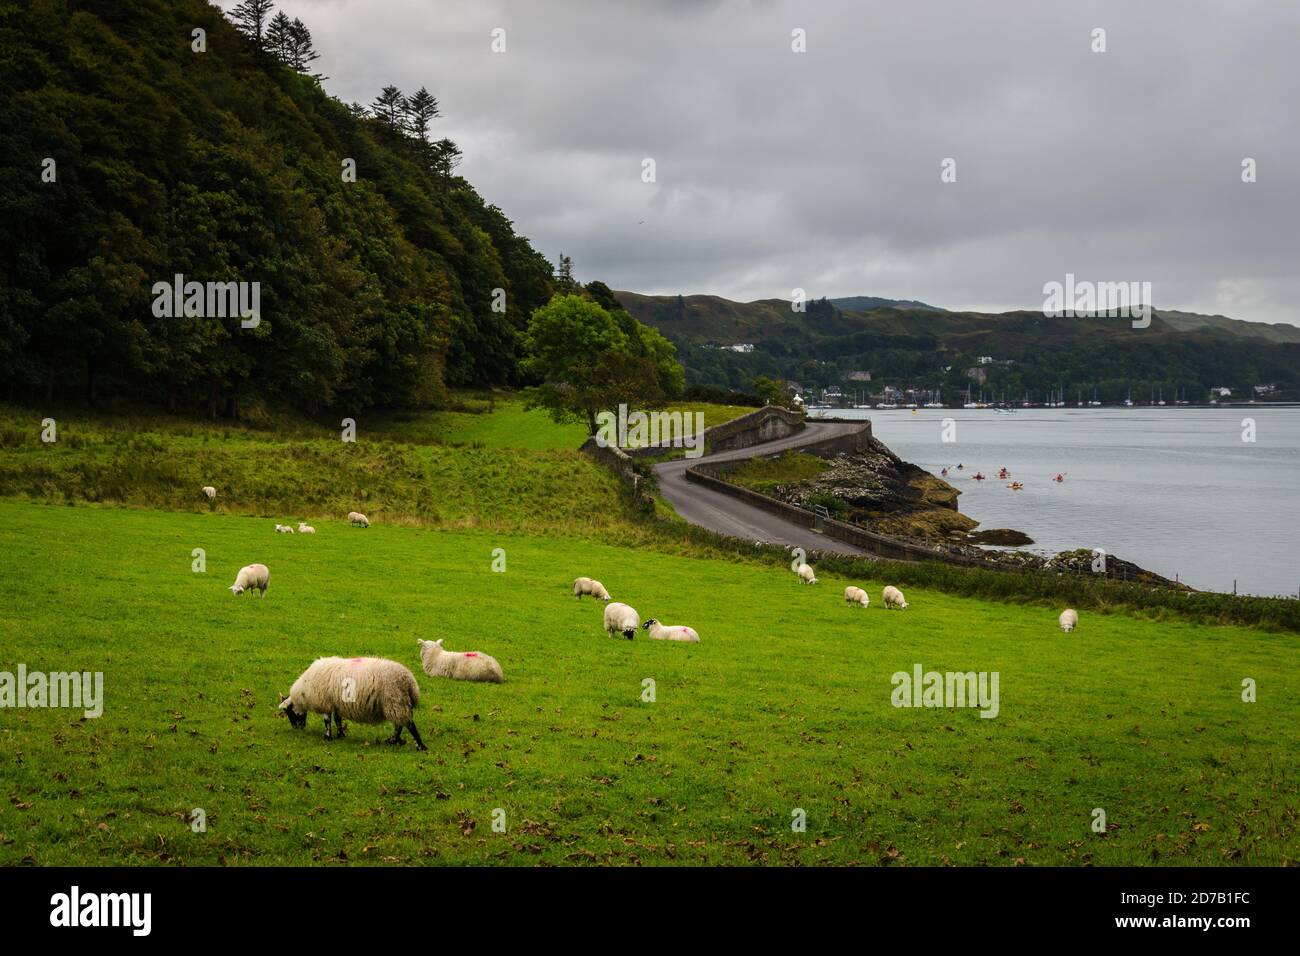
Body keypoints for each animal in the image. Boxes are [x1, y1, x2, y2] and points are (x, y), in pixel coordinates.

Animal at [276, 655, 423, 749]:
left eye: (289, 712)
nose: (297, 728)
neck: (304, 691)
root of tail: (409, 681)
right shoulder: (336, 703)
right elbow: (337, 719)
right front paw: (340, 734)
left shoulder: (325, 702)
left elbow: (327, 721)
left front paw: (327, 737)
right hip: (398, 702)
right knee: (400, 725)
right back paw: (393, 741)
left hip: (394, 700)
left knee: (408, 724)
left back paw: (420, 746)